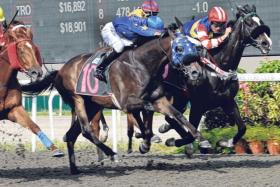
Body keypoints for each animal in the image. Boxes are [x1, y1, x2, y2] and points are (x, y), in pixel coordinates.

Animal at [0, 21, 63, 157]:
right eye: (21, 50)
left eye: (34, 48)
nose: (37, 72)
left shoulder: (14, 109)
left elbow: (34, 126)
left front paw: (55, 149)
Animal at [21, 30, 206, 174]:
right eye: (179, 48)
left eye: (194, 48)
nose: (196, 72)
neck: (142, 65)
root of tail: (60, 70)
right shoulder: (127, 103)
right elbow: (147, 115)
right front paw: (148, 141)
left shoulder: (159, 99)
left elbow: (178, 115)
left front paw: (199, 139)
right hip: (78, 100)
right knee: (86, 130)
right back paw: (112, 154)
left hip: (92, 105)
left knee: (71, 135)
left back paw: (74, 169)